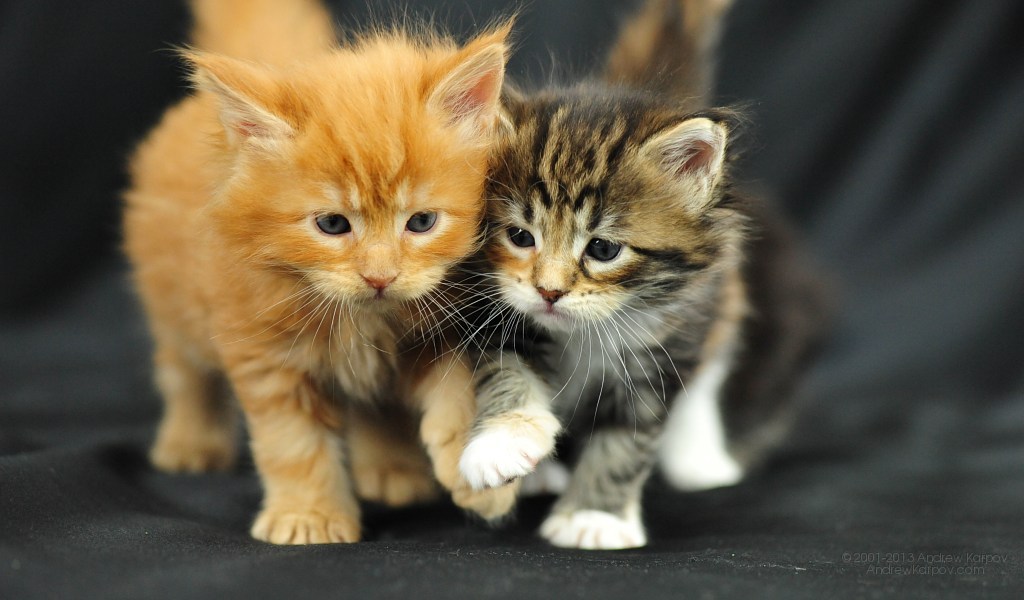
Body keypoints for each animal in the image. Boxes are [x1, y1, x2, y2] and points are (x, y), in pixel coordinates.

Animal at [122, 0, 516, 540]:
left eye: (421, 223)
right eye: (332, 224)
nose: (379, 277)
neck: (366, 322)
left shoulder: (441, 332)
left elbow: (458, 397)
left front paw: (480, 471)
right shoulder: (265, 357)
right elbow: (294, 446)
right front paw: (308, 517)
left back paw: (392, 471)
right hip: (175, 305)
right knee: (183, 370)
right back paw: (190, 441)